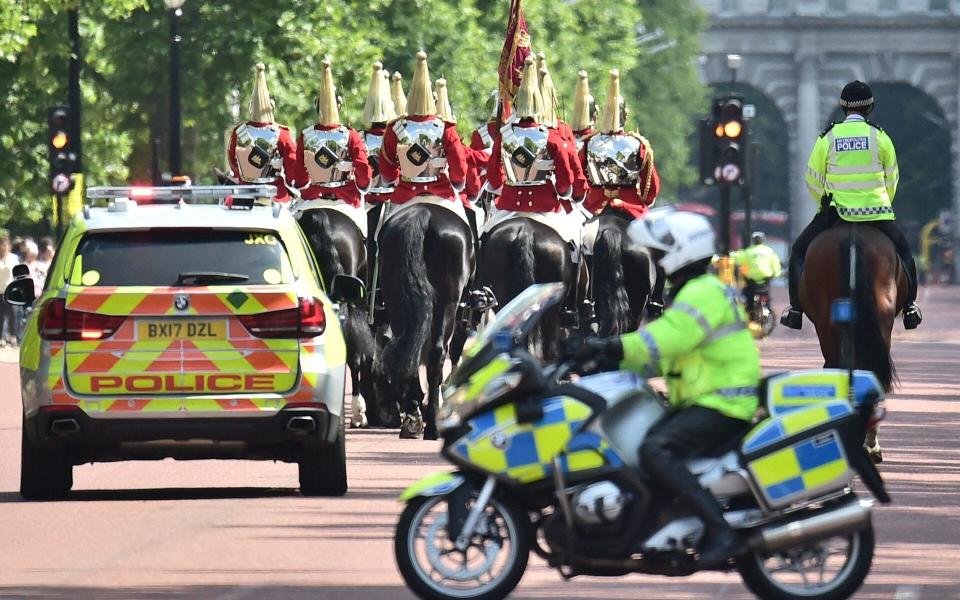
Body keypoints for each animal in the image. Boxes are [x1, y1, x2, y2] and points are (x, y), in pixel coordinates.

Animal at [376, 204, 472, 438]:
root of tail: (423, 212)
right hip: (446, 304)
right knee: (436, 354)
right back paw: (433, 425)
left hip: (397, 301)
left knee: (407, 348)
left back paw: (413, 417)